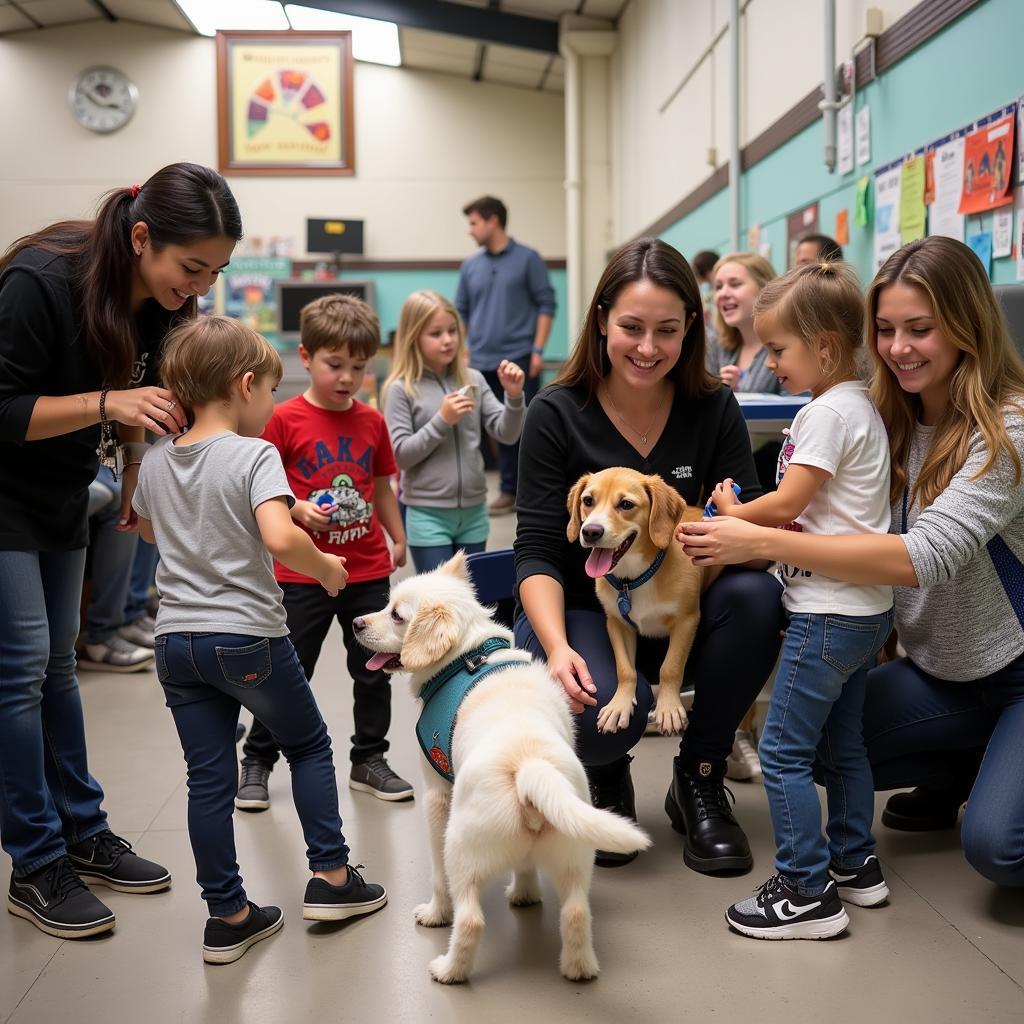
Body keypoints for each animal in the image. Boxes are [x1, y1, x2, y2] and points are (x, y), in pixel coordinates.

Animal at [356, 552, 651, 983]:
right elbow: (525, 867)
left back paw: (448, 970)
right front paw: (525, 894)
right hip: (575, 857)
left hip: (461, 851)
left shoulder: (436, 797)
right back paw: (578, 969)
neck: (466, 658)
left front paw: (434, 914)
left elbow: (437, 877)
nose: (357, 623)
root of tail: (529, 767)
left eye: (396, 614)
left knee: (470, 919)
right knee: (576, 913)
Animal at [569, 468, 720, 741]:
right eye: (588, 501)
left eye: (626, 504)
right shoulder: (617, 623)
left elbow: (670, 667)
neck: (633, 579)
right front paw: (619, 704)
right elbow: (625, 670)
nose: (590, 531)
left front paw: (668, 708)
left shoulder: (686, 621)